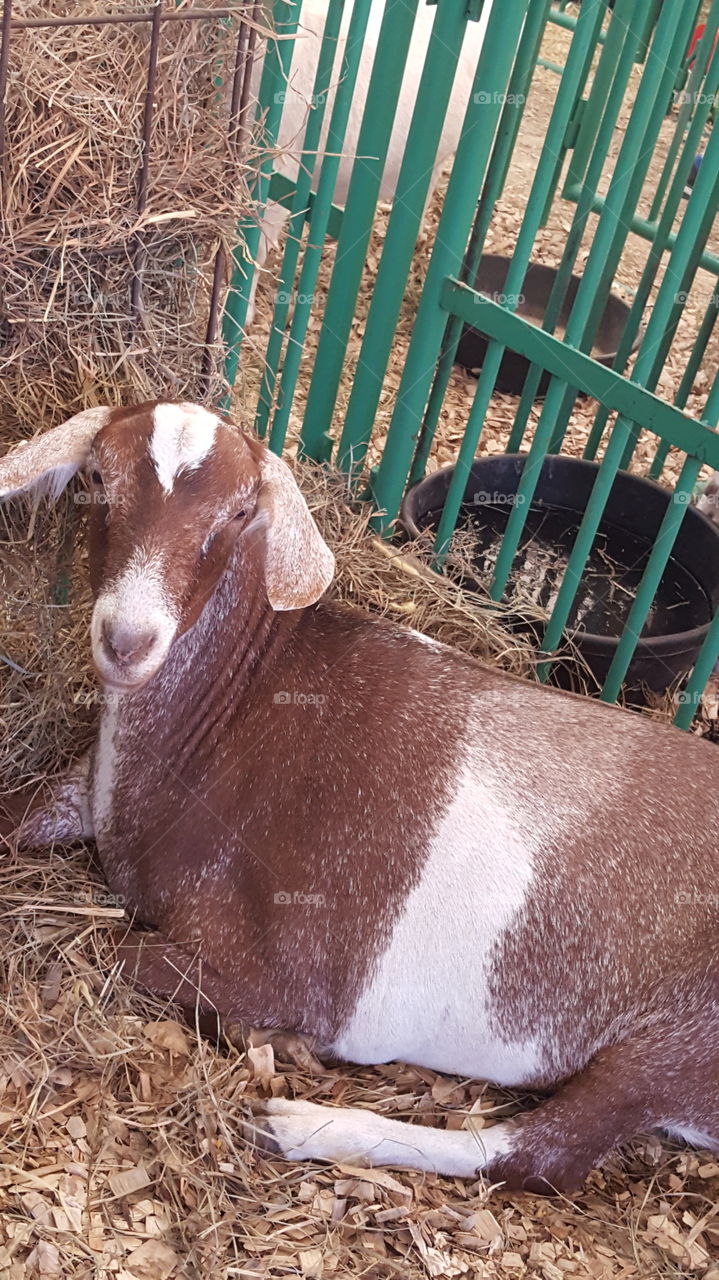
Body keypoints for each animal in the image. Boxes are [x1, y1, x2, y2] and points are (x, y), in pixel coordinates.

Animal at [1, 400, 718, 1194]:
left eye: (240, 512)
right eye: (98, 477)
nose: (127, 640)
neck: (231, 715)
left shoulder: (284, 966)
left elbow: (111, 951)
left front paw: (284, 1044)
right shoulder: (83, 794)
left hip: (681, 1037)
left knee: (546, 1154)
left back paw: (298, 1125)